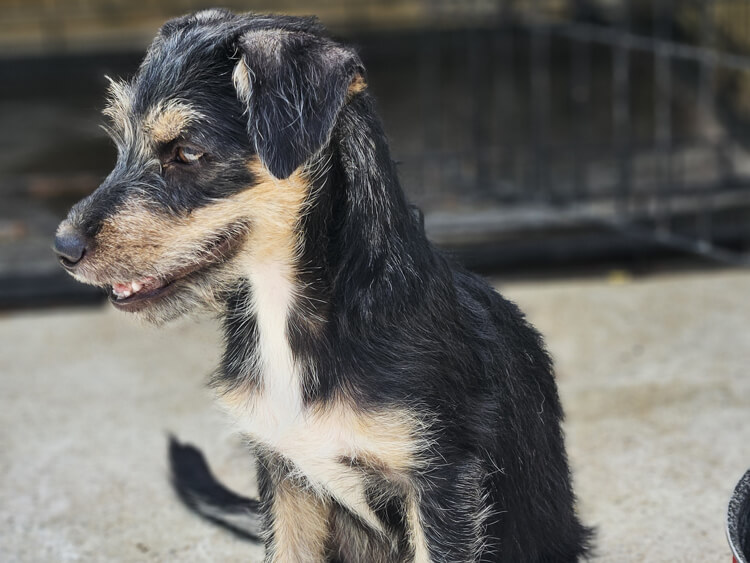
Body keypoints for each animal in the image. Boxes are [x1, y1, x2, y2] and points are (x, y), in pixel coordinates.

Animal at [51, 9, 592, 563]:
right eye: (121, 143)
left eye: (188, 151)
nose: (63, 246)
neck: (290, 310)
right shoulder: (285, 476)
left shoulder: (442, 485)